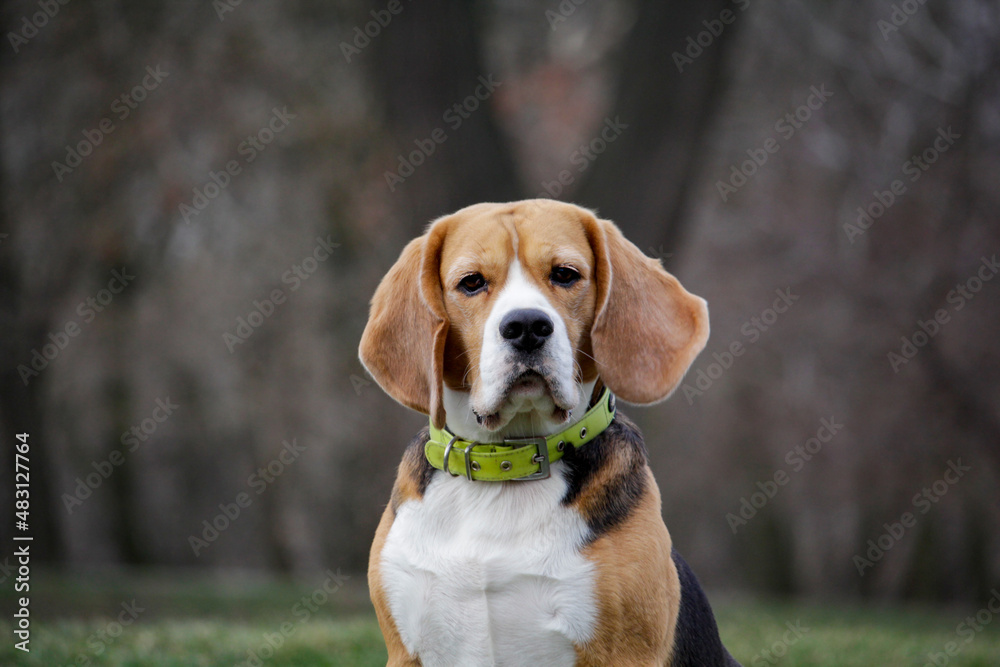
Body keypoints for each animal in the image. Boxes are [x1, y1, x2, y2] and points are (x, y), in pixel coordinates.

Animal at [356, 201, 740, 664]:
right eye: (471, 282)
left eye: (565, 274)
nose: (526, 325)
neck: (508, 465)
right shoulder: (405, 651)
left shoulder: (626, 653)